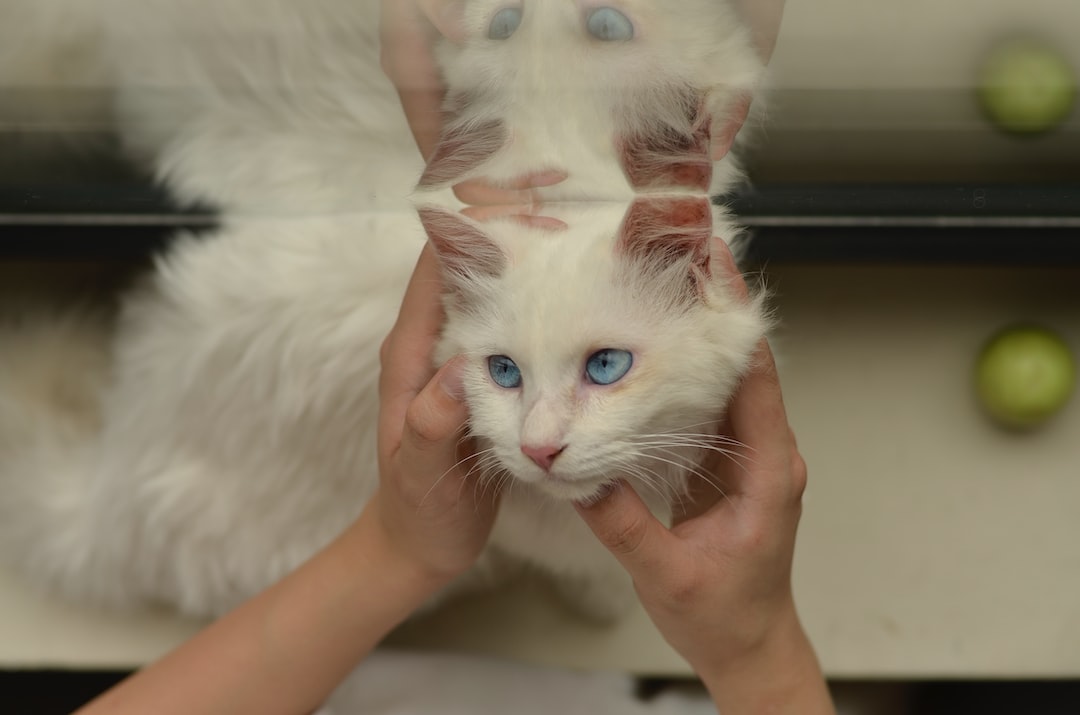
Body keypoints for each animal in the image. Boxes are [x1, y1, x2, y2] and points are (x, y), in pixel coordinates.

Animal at [0, 0, 768, 622]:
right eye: (503, 373)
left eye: (606, 366)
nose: (539, 447)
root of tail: (111, 475)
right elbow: (584, 567)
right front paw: (605, 601)